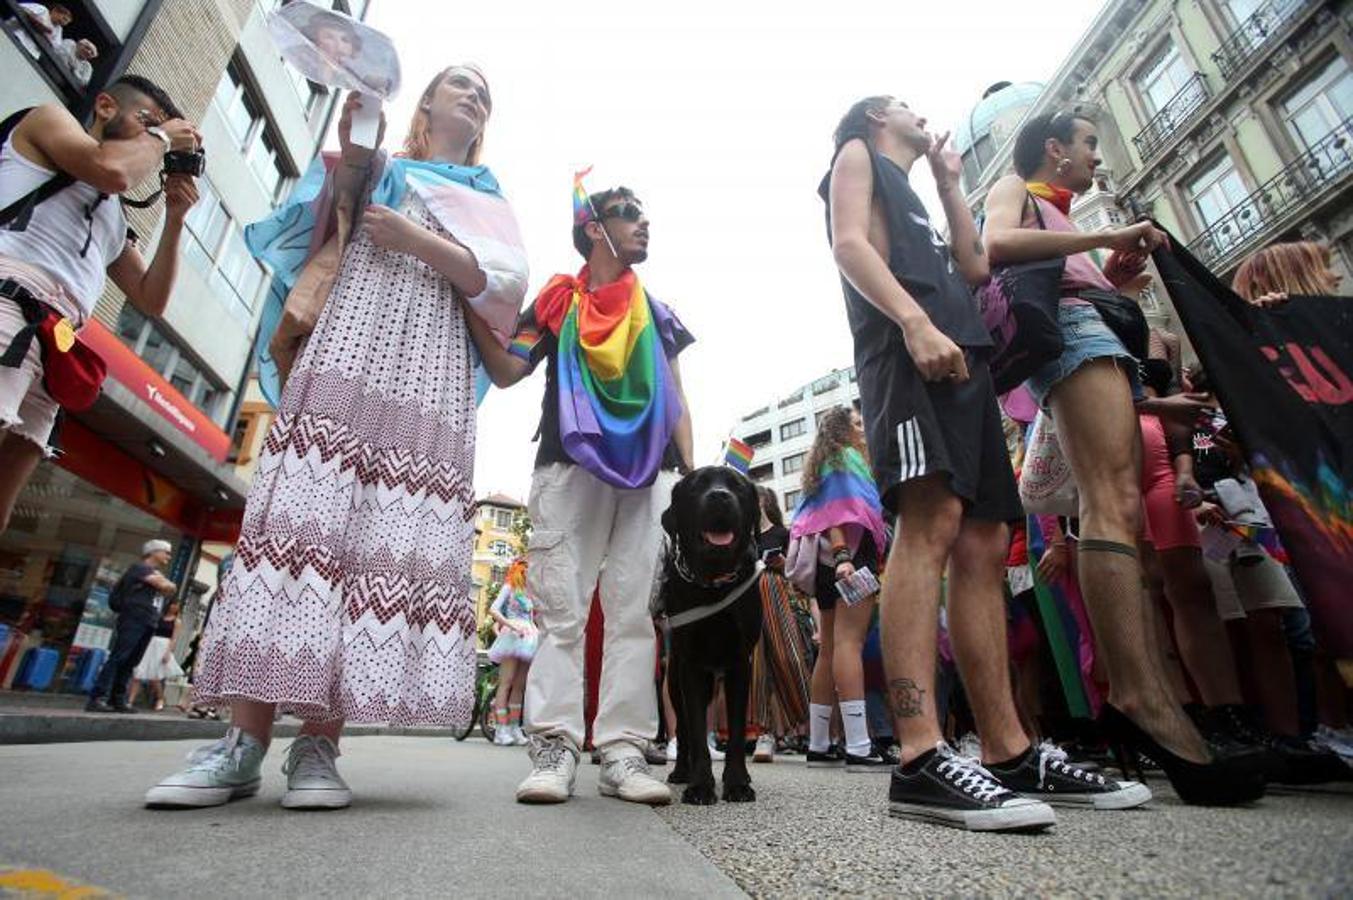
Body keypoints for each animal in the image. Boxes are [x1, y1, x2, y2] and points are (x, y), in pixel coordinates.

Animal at [660, 462, 768, 801]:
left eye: (737, 486)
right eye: (697, 485)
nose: (720, 497)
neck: (714, 582)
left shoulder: (739, 664)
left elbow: (735, 730)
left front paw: (736, 782)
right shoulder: (691, 668)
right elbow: (695, 732)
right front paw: (700, 785)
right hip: (674, 680)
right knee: (683, 728)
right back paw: (682, 771)